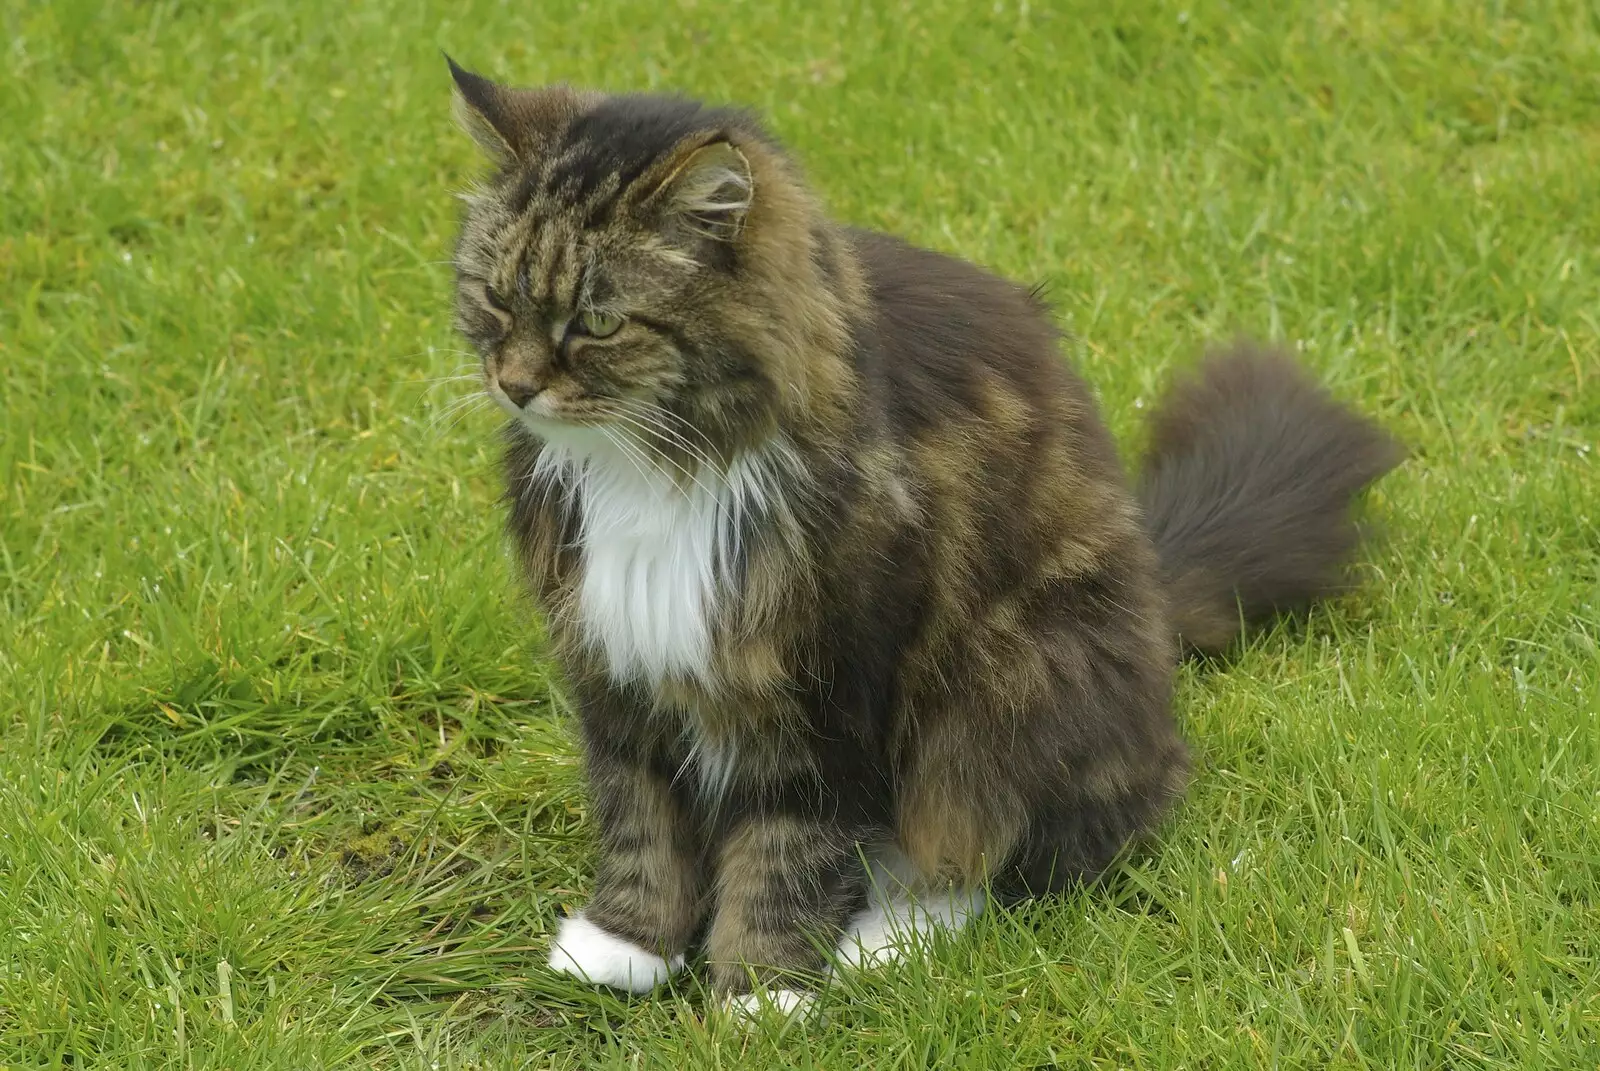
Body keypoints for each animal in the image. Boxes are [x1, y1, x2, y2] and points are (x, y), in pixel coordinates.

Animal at [444, 60, 1395, 1018]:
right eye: (494, 297)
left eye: (598, 324)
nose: (514, 384)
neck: (655, 469)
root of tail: (1156, 596)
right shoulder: (616, 663)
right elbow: (640, 816)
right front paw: (625, 946)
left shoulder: (827, 689)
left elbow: (787, 848)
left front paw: (761, 993)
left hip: (1001, 691)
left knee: (1010, 850)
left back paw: (883, 936)